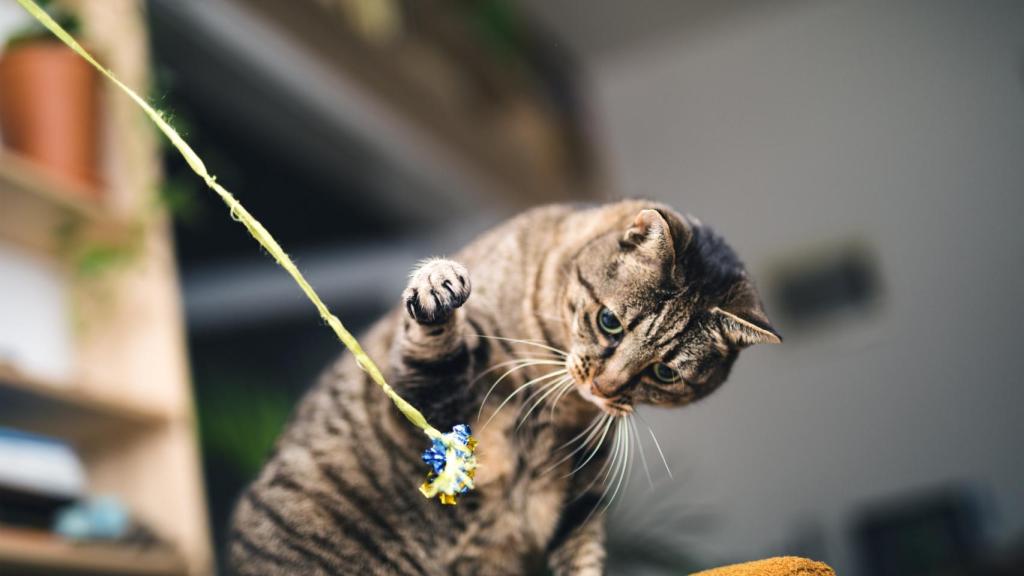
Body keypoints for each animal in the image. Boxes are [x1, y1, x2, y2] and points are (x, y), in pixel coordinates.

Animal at [228, 199, 778, 569]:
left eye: (665, 372)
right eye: (610, 322)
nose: (606, 388)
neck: (561, 408)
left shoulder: (578, 505)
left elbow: (584, 561)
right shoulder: (426, 404)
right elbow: (430, 346)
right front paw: (437, 286)